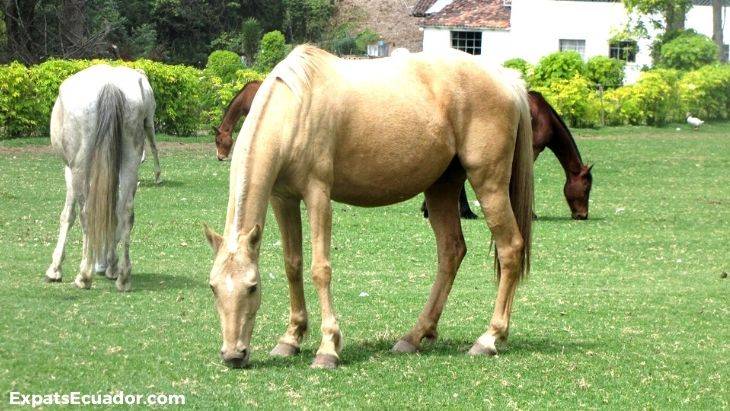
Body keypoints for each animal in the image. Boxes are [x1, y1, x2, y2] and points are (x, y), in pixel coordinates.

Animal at [44, 64, 158, 292]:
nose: (102, 266)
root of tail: (109, 84)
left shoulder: (69, 170)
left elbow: (67, 216)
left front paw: (55, 268)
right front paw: (111, 265)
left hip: (80, 167)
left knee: (87, 212)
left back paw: (84, 275)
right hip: (130, 160)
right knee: (125, 212)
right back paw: (123, 277)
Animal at [203, 45, 534, 369]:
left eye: (252, 287)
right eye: (213, 287)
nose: (233, 355)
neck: (296, 107)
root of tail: (507, 80)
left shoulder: (317, 194)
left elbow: (319, 269)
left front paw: (328, 348)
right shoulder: (283, 199)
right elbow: (292, 265)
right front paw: (291, 339)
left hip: (489, 183)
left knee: (510, 249)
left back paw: (489, 338)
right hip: (441, 187)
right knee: (451, 252)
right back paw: (414, 336)